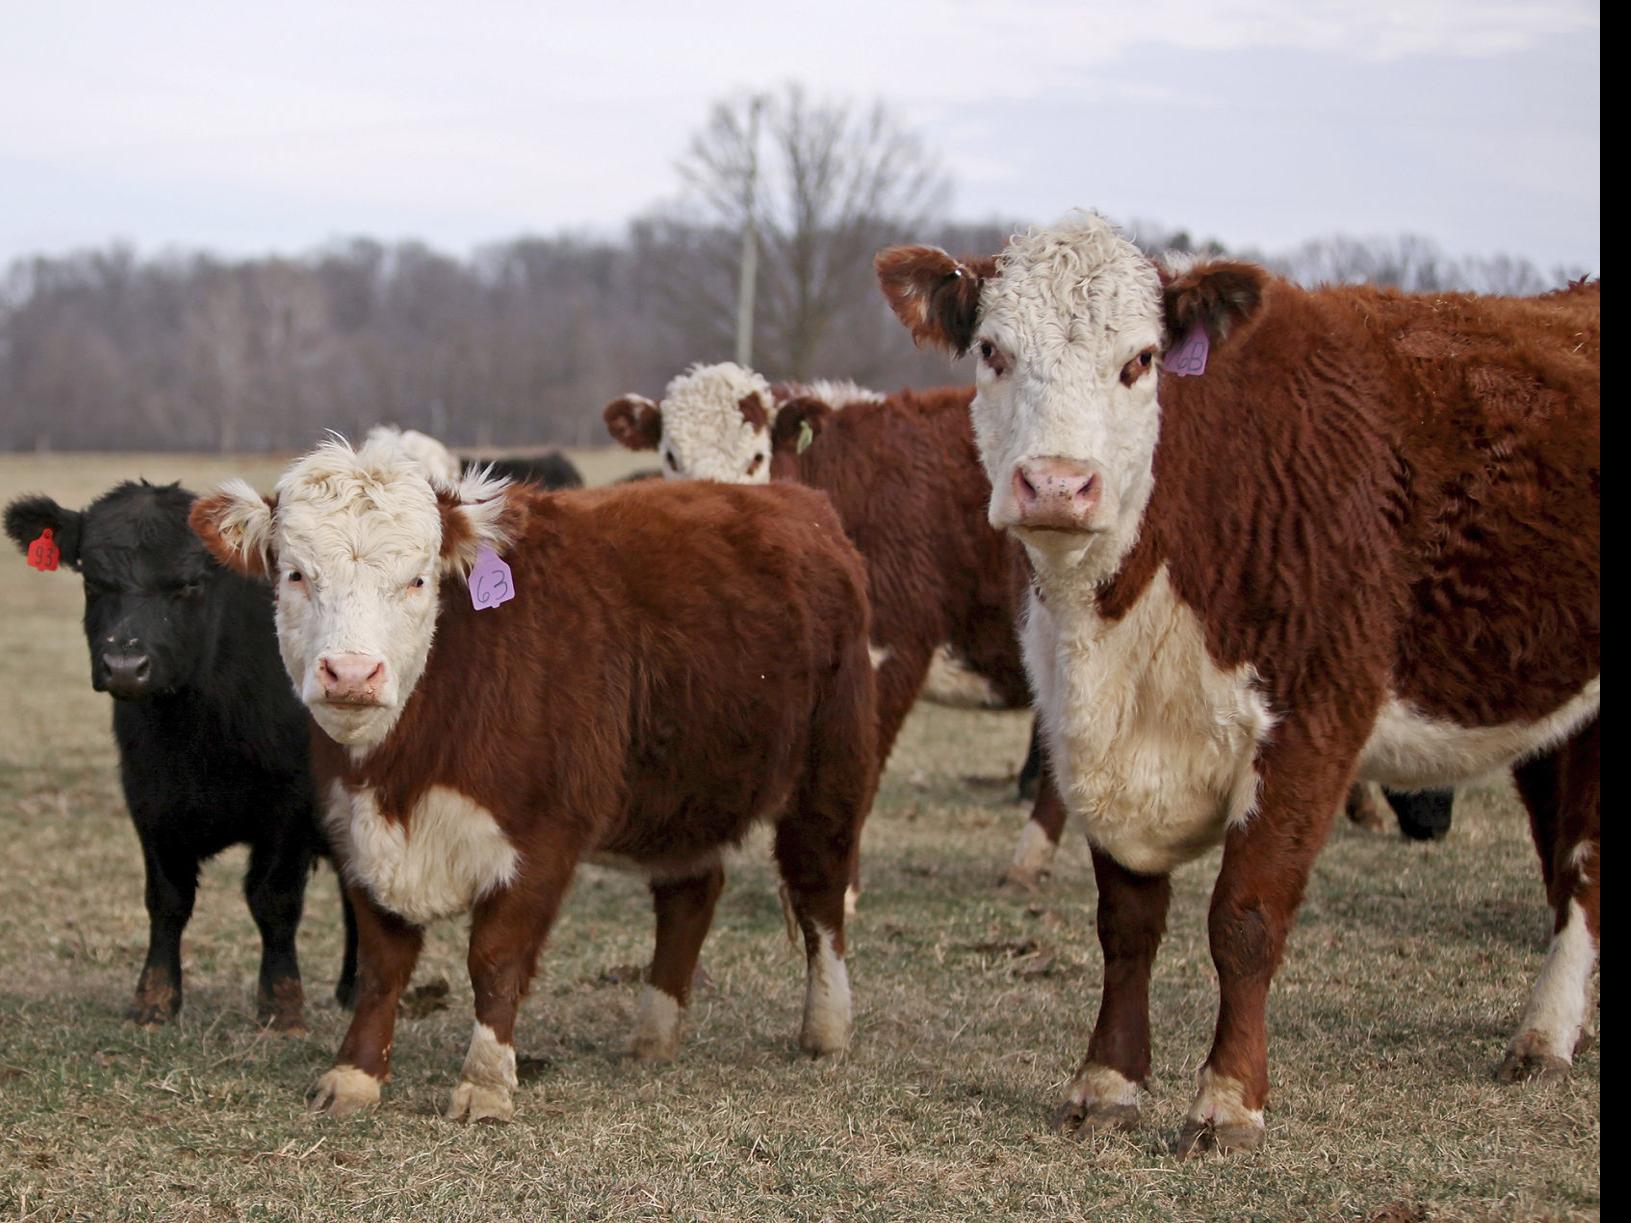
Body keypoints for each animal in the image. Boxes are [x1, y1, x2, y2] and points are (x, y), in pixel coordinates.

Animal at [5, 482, 357, 1030]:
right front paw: (154, 999)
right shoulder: (149, 798)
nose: (125, 665)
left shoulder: (291, 807)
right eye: (93, 579)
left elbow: (274, 900)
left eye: (191, 584)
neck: (198, 733)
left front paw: (281, 1005)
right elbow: (167, 900)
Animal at [189, 436, 876, 1122]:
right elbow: (381, 964)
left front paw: (485, 1084)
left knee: (819, 891)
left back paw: (825, 1029)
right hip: (684, 791)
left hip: (831, 771)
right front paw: (354, 1074)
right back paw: (654, 1035)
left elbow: (496, 959)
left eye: (417, 579)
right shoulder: (354, 828)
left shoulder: (543, 837)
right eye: (295, 574)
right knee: (689, 896)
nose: (352, 674)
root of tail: (801, 505)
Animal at [876, 214, 1599, 1155]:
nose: (1058, 484)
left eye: (1141, 359)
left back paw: (1544, 1035)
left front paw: (1226, 1098)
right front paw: (1106, 1081)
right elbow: (1127, 922)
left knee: (1581, 867)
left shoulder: (1311, 724)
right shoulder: (1091, 733)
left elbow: (1244, 918)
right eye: (993, 351)